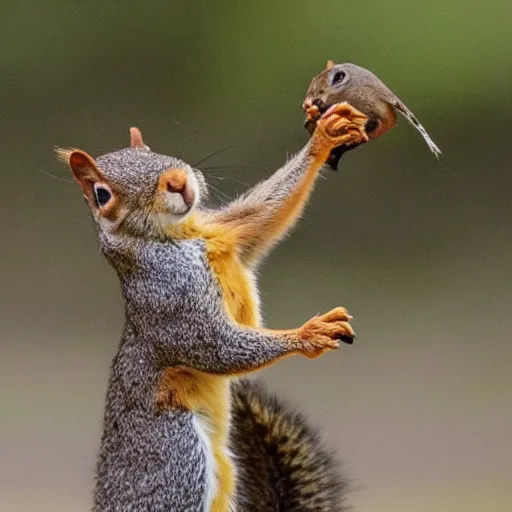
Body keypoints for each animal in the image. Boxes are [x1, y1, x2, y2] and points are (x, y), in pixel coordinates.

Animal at [58, 102, 366, 510]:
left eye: (153, 151)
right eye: (102, 194)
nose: (177, 180)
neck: (176, 236)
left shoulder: (227, 232)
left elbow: (263, 214)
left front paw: (325, 135)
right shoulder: (170, 305)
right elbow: (215, 348)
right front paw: (309, 333)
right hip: (178, 463)